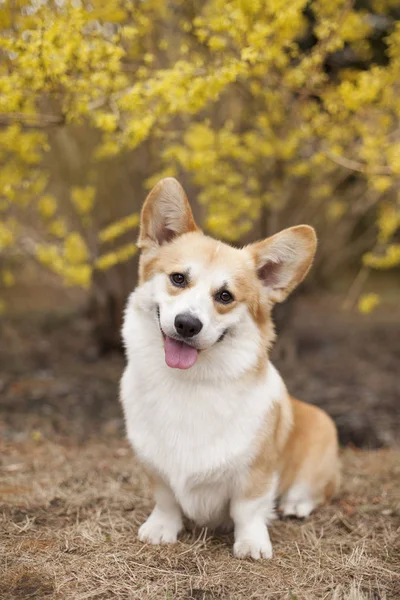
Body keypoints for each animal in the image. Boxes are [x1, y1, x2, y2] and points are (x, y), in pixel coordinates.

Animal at [120, 177, 340, 556]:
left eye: (225, 296)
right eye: (178, 279)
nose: (187, 324)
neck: (188, 383)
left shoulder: (256, 473)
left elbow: (247, 509)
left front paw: (252, 544)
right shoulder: (154, 465)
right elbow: (166, 499)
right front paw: (161, 529)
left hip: (317, 462)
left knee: (312, 491)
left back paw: (295, 505)